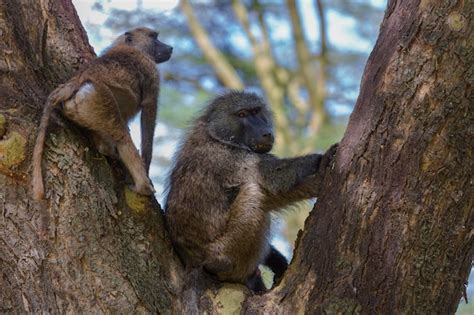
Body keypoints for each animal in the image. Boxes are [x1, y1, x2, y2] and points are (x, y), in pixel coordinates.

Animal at [32, 26, 172, 200]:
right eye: (154, 37)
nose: (170, 48)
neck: (132, 47)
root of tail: (76, 81)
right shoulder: (151, 70)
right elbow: (149, 111)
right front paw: (146, 167)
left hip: (85, 107)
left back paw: (106, 149)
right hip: (99, 97)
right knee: (122, 136)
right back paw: (143, 187)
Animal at [165, 91, 338, 294]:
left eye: (256, 111)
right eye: (242, 114)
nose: (265, 133)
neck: (214, 135)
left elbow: (275, 194)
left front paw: (277, 261)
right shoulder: (229, 158)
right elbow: (275, 178)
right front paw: (320, 167)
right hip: (221, 250)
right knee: (253, 192)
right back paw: (224, 266)